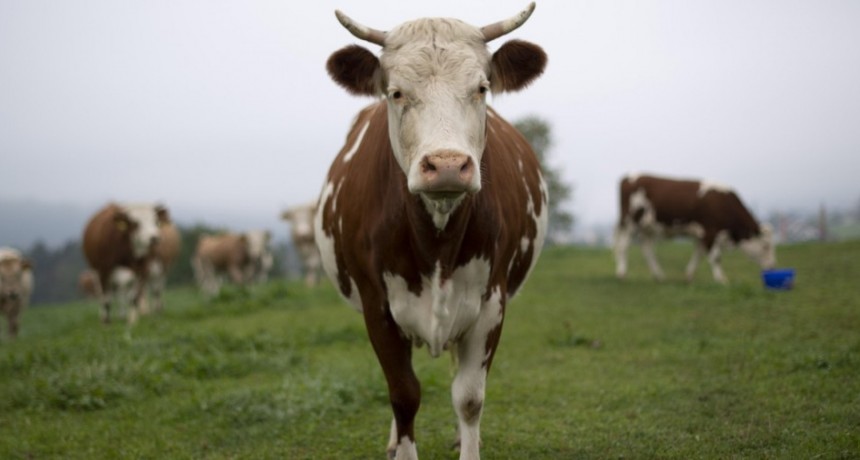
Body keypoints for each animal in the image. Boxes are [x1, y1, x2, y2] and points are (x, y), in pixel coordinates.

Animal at [315, 4, 547, 459]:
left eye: (481, 88)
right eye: (396, 92)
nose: (446, 165)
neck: (436, 239)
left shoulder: (491, 303)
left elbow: (469, 397)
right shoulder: (377, 306)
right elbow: (403, 394)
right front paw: (401, 445)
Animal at [613, 173, 776, 284]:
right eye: (765, 246)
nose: (773, 266)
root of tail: (628, 176)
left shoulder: (701, 235)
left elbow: (698, 255)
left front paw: (689, 276)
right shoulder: (710, 231)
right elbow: (716, 257)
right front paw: (722, 279)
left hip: (648, 227)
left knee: (647, 250)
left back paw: (659, 276)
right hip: (629, 222)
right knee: (623, 246)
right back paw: (622, 273)